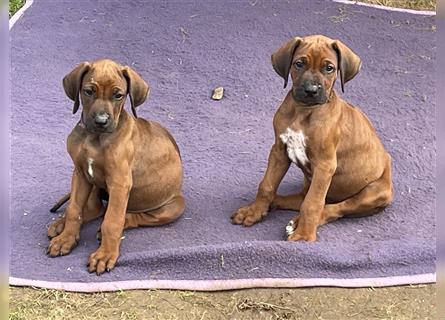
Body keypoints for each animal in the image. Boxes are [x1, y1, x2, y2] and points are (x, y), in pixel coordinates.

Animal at [231, 35, 394, 241]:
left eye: (329, 68)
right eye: (299, 64)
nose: (311, 90)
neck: (303, 111)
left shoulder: (325, 165)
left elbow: (313, 203)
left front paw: (304, 236)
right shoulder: (279, 151)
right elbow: (267, 185)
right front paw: (254, 211)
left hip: (375, 192)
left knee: (333, 207)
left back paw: (298, 223)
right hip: (310, 182)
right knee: (301, 198)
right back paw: (275, 205)